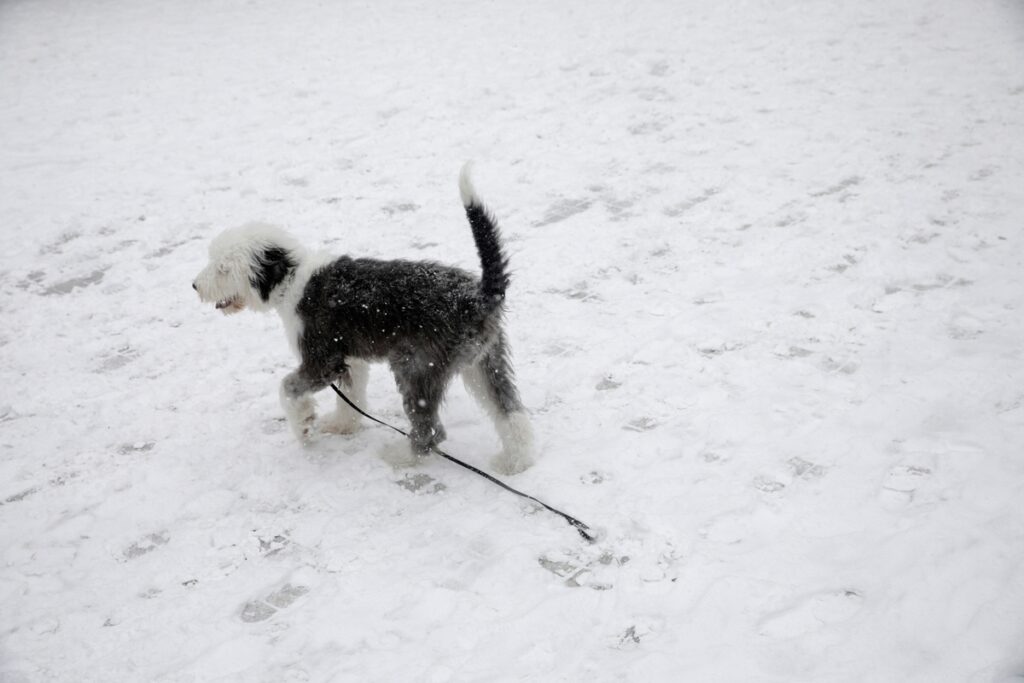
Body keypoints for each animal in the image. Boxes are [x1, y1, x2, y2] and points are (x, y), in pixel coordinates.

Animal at [194, 165, 540, 475]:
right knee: (510, 411)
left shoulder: (322, 359)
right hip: (484, 360)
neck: (292, 281)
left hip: (415, 365)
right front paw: (342, 425)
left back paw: (400, 457)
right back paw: (516, 462)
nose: (195, 286)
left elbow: (288, 388)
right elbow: (351, 396)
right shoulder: (349, 358)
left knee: (431, 429)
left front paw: (303, 425)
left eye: (223, 267)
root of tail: (479, 295)